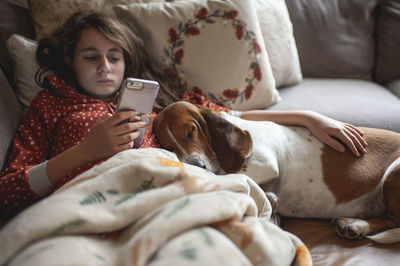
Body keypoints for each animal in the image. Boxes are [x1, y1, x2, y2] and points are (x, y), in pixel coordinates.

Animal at [154, 101, 400, 243]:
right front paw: (269, 198)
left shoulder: (264, 164)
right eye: (168, 147)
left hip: (392, 173)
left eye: (191, 131)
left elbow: (227, 176)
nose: (197, 166)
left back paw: (356, 225)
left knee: (394, 220)